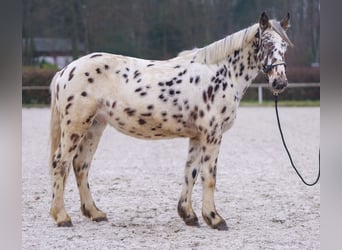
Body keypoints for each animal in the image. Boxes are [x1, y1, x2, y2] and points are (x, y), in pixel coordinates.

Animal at [48, 11, 294, 230]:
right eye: (266, 44)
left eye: (284, 47)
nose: (280, 83)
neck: (220, 73)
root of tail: (65, 70)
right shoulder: (212, 134)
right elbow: (209, 176)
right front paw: (214, 219)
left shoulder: (198, 136)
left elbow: (190, 173)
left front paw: (189, 215)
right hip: (75, 126)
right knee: (61, 163)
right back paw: (62, 217)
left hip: (95, 126)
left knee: (81, 165)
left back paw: (94, 212)